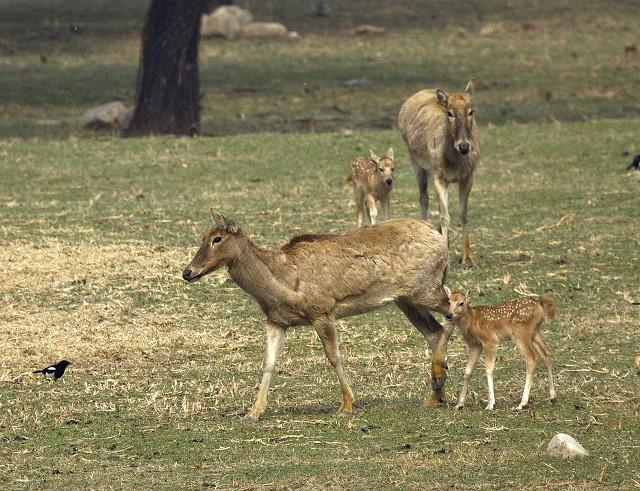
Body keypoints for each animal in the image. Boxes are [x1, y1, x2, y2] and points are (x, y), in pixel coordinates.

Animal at [182, 210, 452, 422]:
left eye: (217, 238)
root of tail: (440, 238)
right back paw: (435, 393)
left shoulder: (321, 310)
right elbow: (268, 363)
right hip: (405, 299)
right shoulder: (276, 320)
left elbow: (334, 357)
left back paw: (440, 376)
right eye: (202, 237)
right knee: (434, 329)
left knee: (452, 305)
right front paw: (252, 413)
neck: (280, 286)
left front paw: (347, 405)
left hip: (425, 288)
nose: (188, 272)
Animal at [398, 79, 478, 270]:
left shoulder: (468, 176)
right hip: (416, 162)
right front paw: (447, 259)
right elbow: (444, 216)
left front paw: (467, 258)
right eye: (450, 113)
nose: (464, 146)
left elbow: (463, 214)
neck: (455, 163)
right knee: (423, 197)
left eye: (471, 111)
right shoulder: (439, 177)